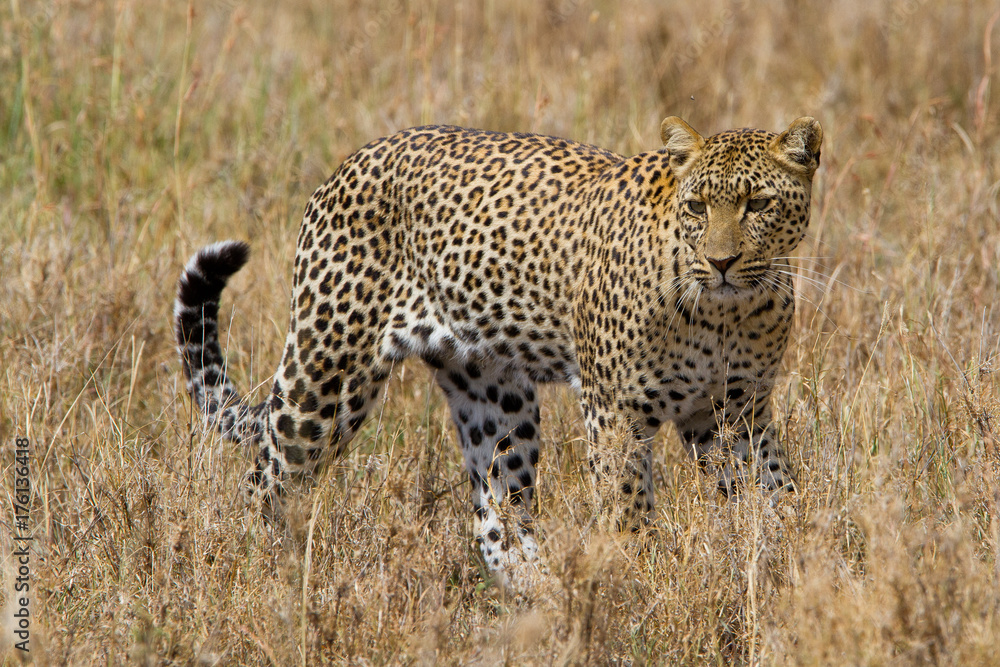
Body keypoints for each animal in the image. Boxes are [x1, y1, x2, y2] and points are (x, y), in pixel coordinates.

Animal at [174, 116, 822, 588]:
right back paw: (256, 575)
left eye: (758, 204)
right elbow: (626, 509)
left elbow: (775, 497)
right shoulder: (615, 412)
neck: (723, 314)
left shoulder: (734, 415)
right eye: (697, 208)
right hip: (326, 373)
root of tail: (349, 162)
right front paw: (634, 587)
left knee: (495, 518)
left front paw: (795, 572)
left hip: (494, 397)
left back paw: (540, 592)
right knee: (266, 474)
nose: (721, 262)